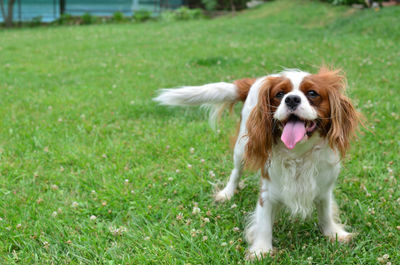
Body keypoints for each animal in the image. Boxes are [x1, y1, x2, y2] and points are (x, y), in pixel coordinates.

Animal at [153, 67, 360, 258]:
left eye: (312, 93)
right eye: (279, 94)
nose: (292, 99)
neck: (298, 154)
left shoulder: (324, 187)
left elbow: (325, 212)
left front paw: (334, 234)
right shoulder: (267, 191)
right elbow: (264, 222)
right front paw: (261, 250)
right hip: (241, 147)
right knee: (236, 172)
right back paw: (227, 193)